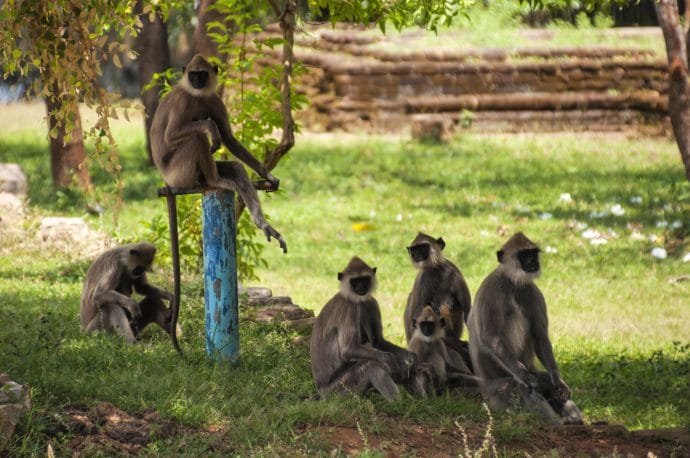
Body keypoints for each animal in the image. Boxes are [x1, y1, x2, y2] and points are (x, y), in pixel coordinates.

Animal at [150, 54, 288, 254]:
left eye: (202, 74)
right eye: (192, 75)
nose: (196, 82)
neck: (197, 95)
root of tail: (166, 180)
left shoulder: (213, 99)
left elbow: (228, 138)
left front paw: (267, 174)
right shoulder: (183, 100)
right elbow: (171, 135)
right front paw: (210, 127)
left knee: (236, 166)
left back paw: (261, 222)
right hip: (179, 174)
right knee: (197, 138)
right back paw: (214, 180)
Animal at [310, 258, 430, 400]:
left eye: (364, 279)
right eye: (355, 281)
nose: (361, 287)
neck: (353, 297)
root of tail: (321, 392)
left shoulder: (371, 302)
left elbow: (378, 341)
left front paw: (412, 358)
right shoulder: (349, 307)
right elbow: (348, 349)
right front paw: (389, 359)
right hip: (338, 390)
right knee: (371, 365)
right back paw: (401, 402)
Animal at [404, 233, 472, 372]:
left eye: (422, 247)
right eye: (414, 250)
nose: (417, 255)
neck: (435, 269)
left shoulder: (452, 271)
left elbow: (468, 310)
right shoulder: (423, 279)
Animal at [464, 234, 584, 424]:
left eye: (533, 253)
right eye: (524, 255)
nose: (533, 262)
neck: (513, 282)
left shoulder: (532, 291)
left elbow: (540, 336)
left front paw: (558, 381)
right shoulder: (492, 289)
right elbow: (490, 337)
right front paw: (527, 378)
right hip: (498, 389)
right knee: (522, 388)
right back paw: (557, 421)